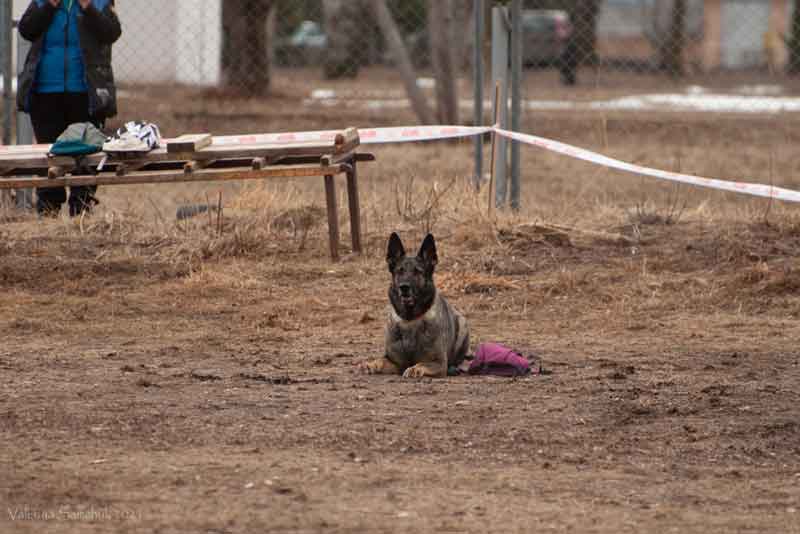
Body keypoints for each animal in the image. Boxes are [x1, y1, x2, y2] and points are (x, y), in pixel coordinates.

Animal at [362, 232, 468, 378]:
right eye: (399, 271)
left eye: (418, 271)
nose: (404, 287)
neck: (410, 319)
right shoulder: (394, 362)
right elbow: (381, 361)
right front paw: (371, 364)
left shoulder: (438, 363)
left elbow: (422, 364)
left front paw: (414, 369)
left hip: (463, 325)